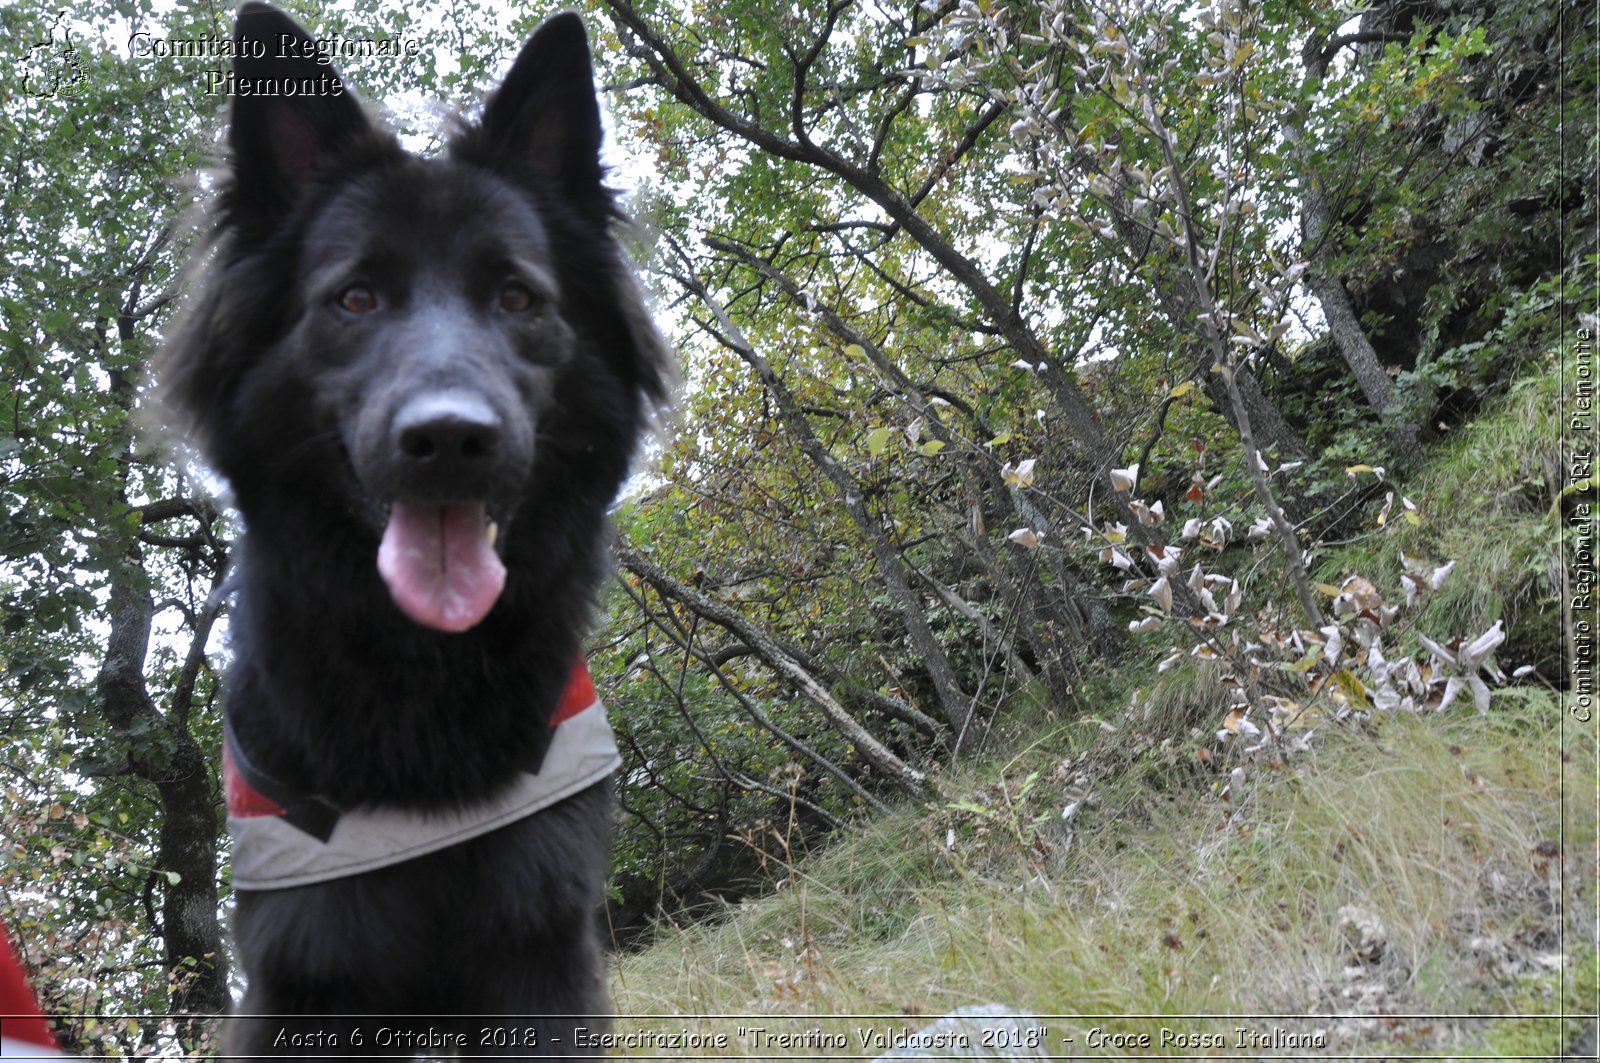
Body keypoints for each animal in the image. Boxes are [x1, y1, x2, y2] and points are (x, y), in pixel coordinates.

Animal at [167, 6, 675, 1056]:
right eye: (355, 297)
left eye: (517, 298)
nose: (450, 440)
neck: (424, 680)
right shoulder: (303, 972)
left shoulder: (540, 942)